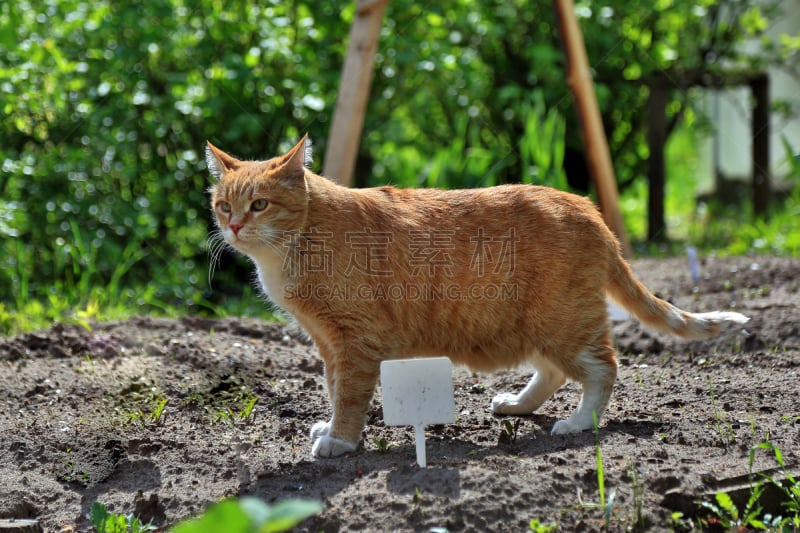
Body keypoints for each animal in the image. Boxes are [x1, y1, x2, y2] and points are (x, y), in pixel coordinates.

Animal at [208, 136, 752, 458]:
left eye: (260, 205)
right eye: (223, 205)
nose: (233, 227)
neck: (296, 244)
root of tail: (588, 209)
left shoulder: (355, 339)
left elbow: (350, 394)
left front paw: (341, 440)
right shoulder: (328, 342)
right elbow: (333, 386)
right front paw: (331, 429)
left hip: (562, 323)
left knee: (603, 368)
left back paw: (580, 423)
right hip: (535, 325)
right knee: (554, 371)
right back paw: (518, 405)